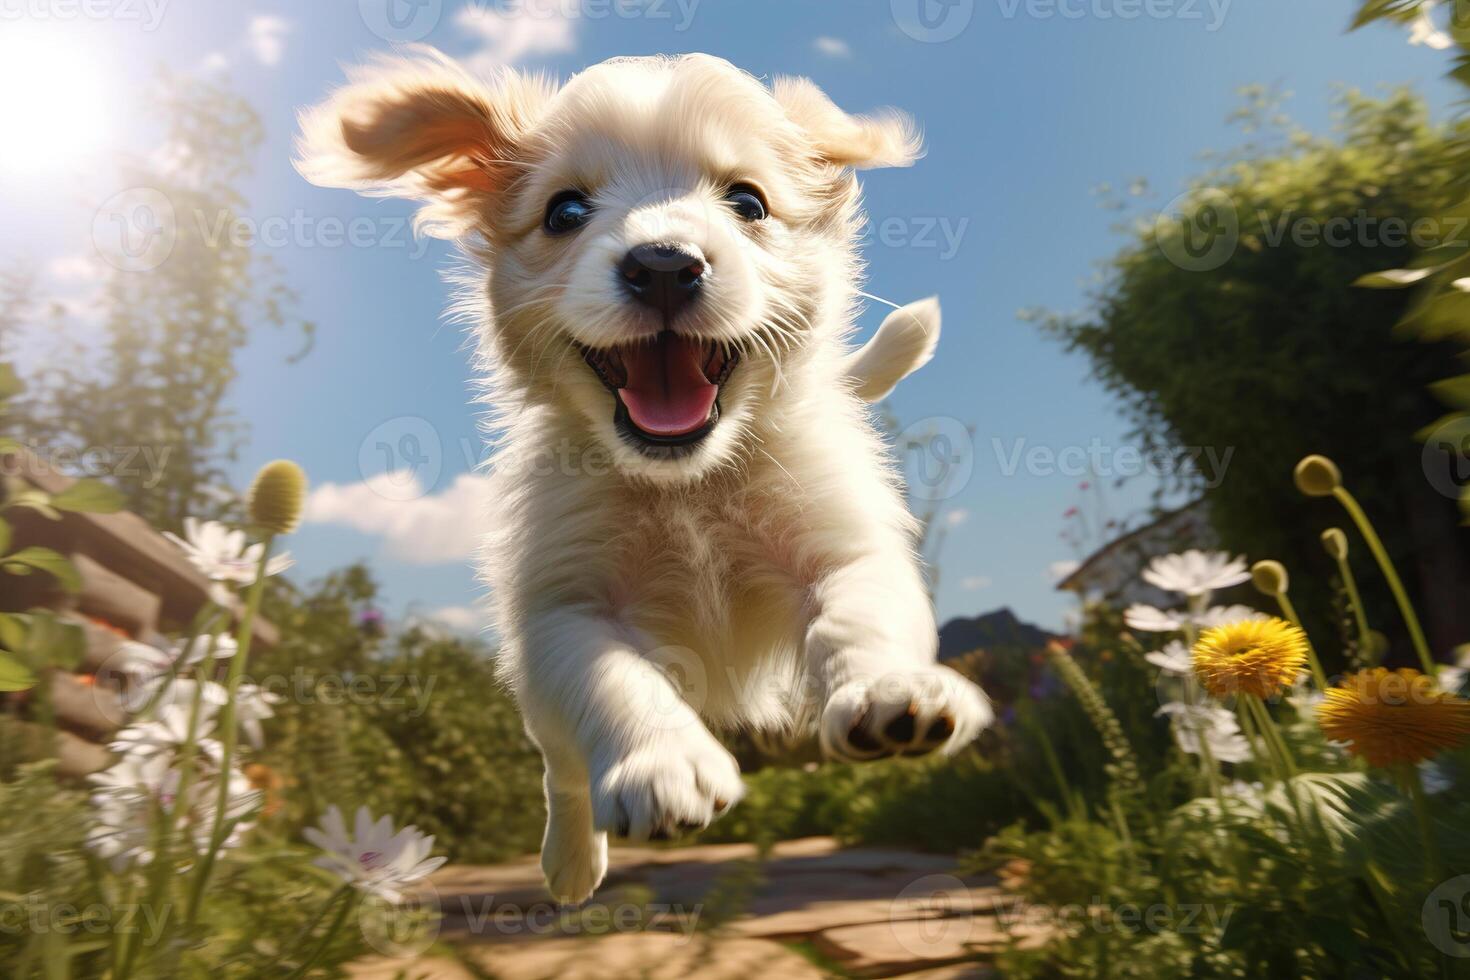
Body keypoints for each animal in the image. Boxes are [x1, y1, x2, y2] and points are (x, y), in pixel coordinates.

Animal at [294, 51, 993, 905]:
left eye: (748, 202)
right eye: (565, 211)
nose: (663, 264)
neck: (689, 480)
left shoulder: (843, 552)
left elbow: (856, 619)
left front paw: (892, 694)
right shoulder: (565, 611)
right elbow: (614, 679)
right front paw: (663, 765)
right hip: (540, 704)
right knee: (562, 771)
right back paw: (569, 863)